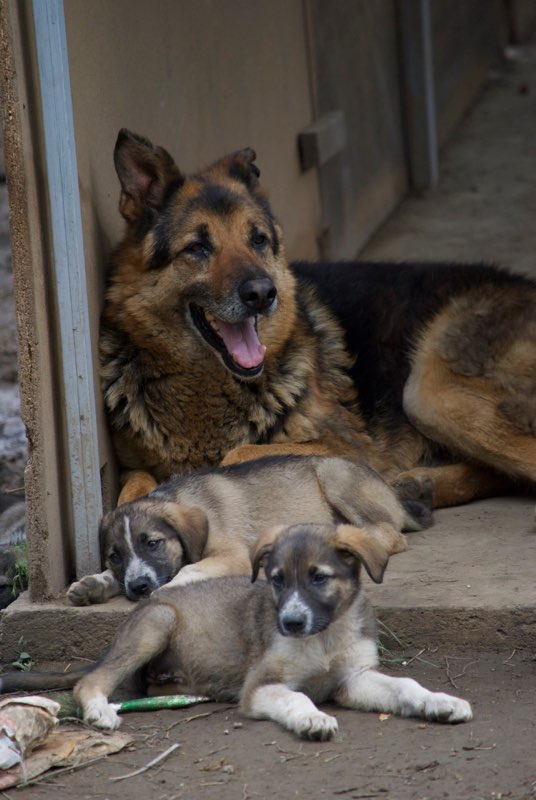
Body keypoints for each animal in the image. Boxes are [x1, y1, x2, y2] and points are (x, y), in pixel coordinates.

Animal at [68, 456, 432, 608]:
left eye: (153, 543)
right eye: (114, 556)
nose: (139, 588)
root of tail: (390, 492)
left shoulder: (233, 556)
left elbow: (189, 568)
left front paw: (166, 588)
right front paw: (94, 584)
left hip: (335, 475)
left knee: (389, 534)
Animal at [101, 128, 536, 510]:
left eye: (257, 240)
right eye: (197, 247)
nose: (263, 295)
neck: (204, 386)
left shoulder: (347, 447)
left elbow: (239, 454)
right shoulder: (133, 468)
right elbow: (132, 486)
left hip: (427, 393)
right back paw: (420, 487)